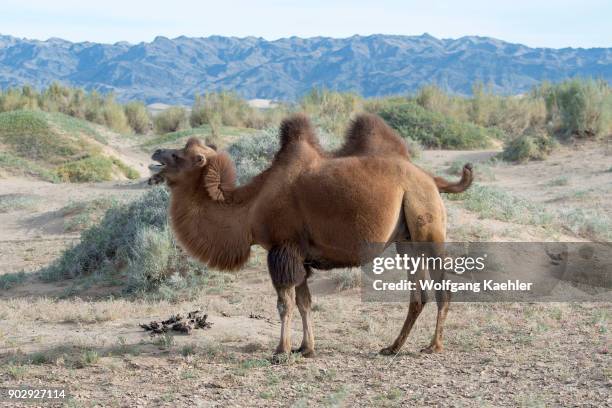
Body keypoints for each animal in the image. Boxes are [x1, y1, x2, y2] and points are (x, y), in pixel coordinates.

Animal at [148, 113, 474, 358]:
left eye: (179, 155)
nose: (156, 151)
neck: (250, 205)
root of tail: (431, 178)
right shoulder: (300, 256)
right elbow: (305, 302)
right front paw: (306, 349)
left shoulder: (282, 249)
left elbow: (285, 303)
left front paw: (281, 351)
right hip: (406, 237)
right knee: (418, 293)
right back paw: (392, 347)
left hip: (427, 222)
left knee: (442, 284)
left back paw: (433, 346)